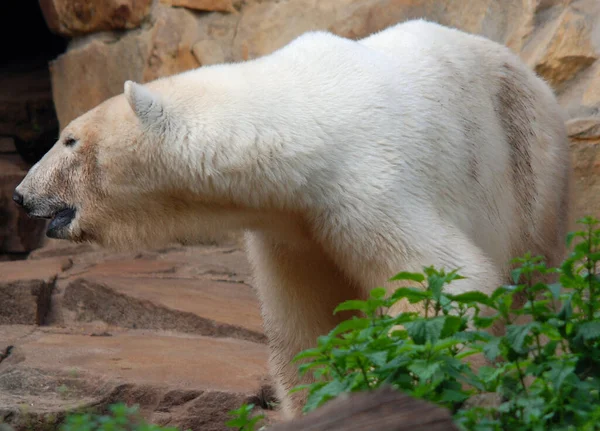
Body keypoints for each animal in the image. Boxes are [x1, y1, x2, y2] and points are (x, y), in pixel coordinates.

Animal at [15, 19, 572, 418]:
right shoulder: (292, 227)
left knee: (531, 275)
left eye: (69, 139)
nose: (21, 195)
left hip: (527, 161)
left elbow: (444, 279)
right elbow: (307, 324)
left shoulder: (368, 188)